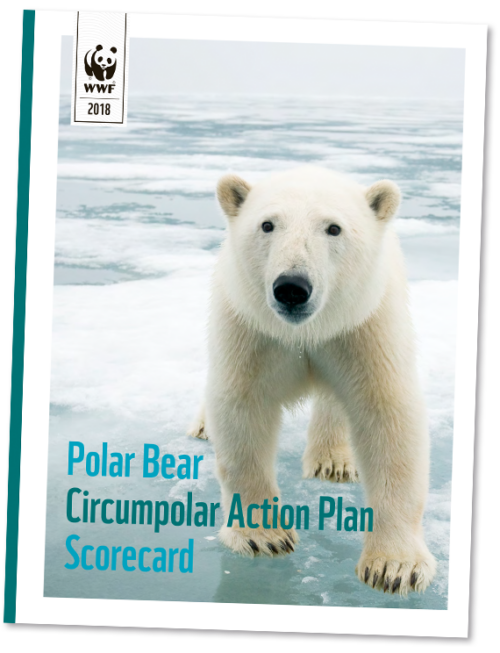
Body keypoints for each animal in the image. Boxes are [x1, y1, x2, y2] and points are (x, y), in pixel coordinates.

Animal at [188, 165, 437, 596]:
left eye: (333, 228)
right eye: (267, 224)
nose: (292, 287)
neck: (305, 331)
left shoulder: (362, 327)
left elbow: (388, 415)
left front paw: (394, 566)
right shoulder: (251, 330)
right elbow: (241, 410)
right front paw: (263, 536)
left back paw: (333, 460)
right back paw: (203, 426)